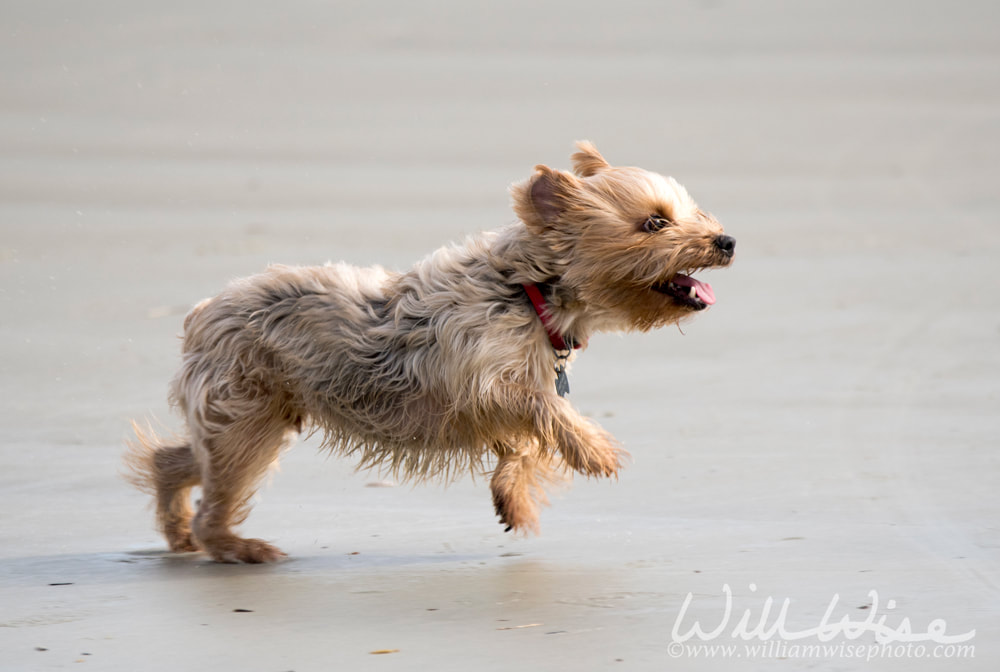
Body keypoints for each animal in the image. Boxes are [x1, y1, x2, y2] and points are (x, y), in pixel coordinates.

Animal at [125, 142, 736, 560]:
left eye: (691, 212)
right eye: (654, 221)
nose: (727, 241)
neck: (530, 290)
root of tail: (201, 313)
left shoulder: (492, 396)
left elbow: (525, 439)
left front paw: (512, 498)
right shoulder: (478, 382)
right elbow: (543, 407)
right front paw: (595, 450)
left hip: (256, 416)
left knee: (178, 461)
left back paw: (178, 525)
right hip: (247, 416)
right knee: (217, 490)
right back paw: (237, 547)